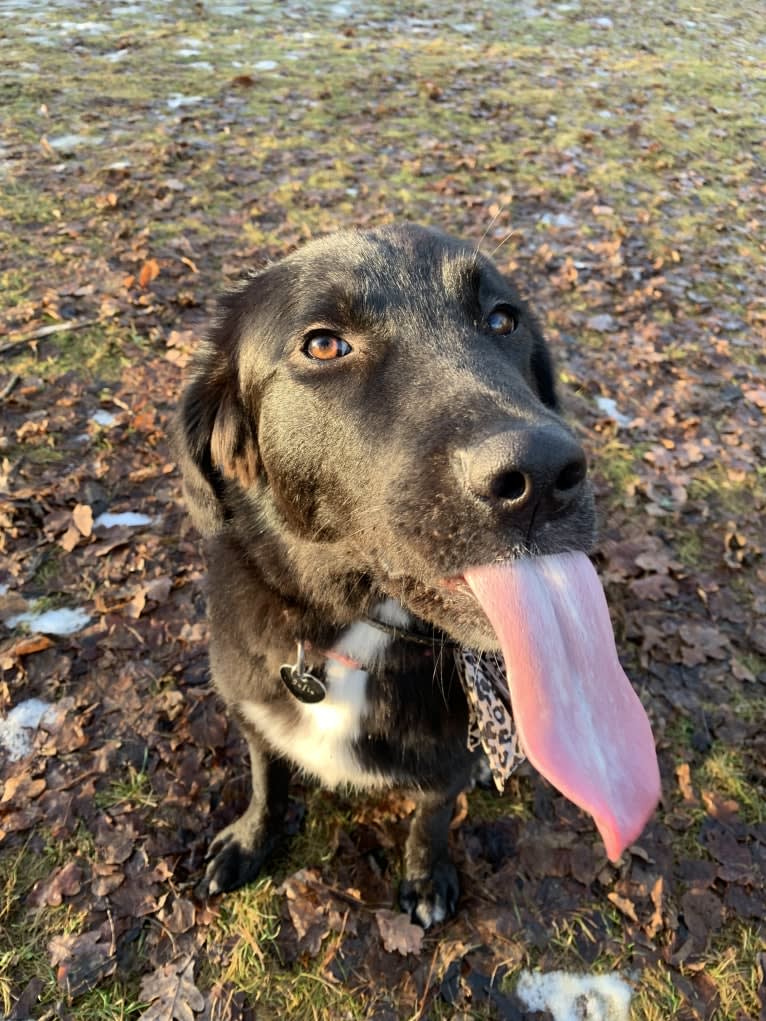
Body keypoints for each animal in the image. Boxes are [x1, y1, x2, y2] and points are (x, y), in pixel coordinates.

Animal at [173, 227, 600, 931]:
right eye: (323, 344)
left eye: (502, 320)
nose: (543, 476)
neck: (356, 628)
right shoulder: (253, 711)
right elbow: (266, 778)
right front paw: (251, 839)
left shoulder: (443, 763)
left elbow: (430, 818)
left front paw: (426, 879)